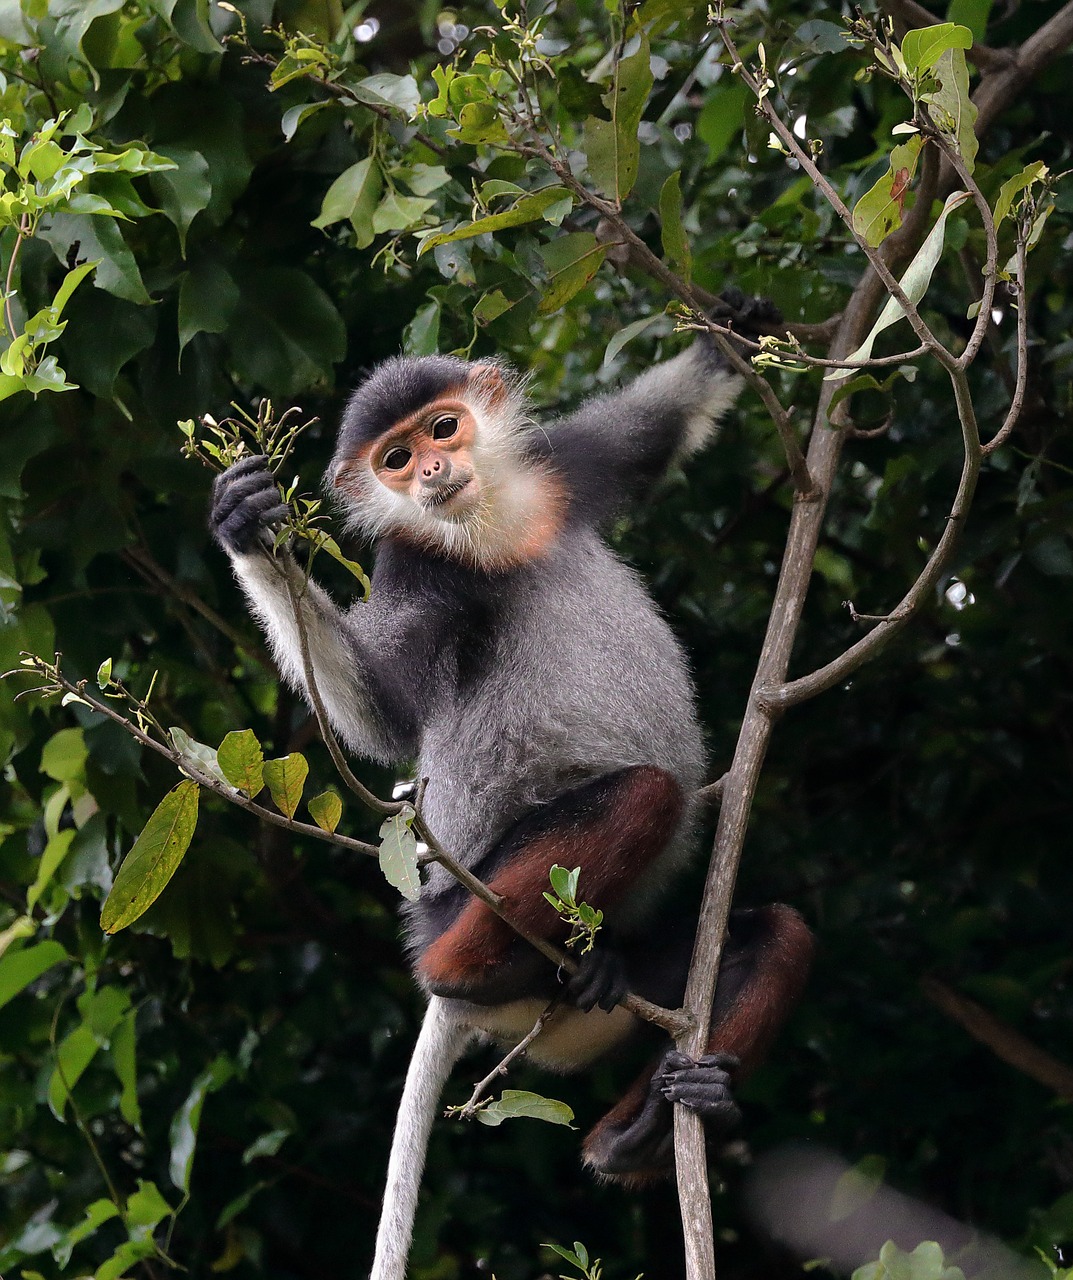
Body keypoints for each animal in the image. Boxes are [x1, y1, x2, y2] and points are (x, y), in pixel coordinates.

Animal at [209, 312, 814, 1280]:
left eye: (442, 429)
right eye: (393, 458)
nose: (428, 472)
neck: (489, 527)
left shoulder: (558, 469)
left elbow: (651, 435)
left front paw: (737, 330)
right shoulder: (415, 563)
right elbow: (382, 709)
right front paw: (243, 526)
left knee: (775, 932)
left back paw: (653, 1120)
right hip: (461, 895)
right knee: (645, 796)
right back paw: (478, 970)